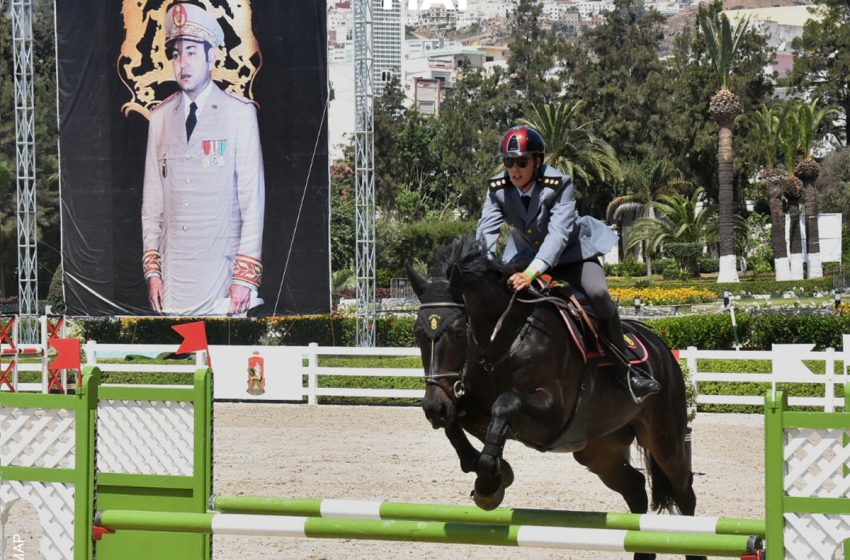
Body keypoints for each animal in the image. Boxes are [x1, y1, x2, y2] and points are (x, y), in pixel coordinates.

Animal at [410, 237, 696, 560]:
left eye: (458, 331)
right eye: (417, 332)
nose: (433, 407)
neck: (506, 339)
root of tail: (661, 346)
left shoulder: (552, 414)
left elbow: (504, 405)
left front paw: (488, 485)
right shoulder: (469, 405)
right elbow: (456, 425)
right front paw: (495, 473)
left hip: (664, 440)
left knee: (684, 492)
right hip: (600, 450)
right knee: (635, 490)